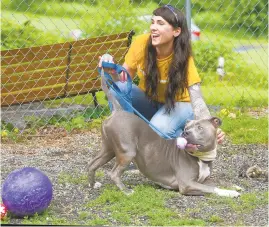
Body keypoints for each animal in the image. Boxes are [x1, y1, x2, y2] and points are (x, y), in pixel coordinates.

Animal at [87, 69, 239, 197]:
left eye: (199, 127)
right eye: (186, 128)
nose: (186, 133)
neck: (201, 158)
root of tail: (117, 111)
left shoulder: (203, 180)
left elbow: (218, 182)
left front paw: (235, 186)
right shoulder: (187, 184)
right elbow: (212, 188)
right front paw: (230, 192)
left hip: (109, 149)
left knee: (92, 163)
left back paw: (93, 184)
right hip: (127, 151)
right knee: (113, 173)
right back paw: (126, 191)